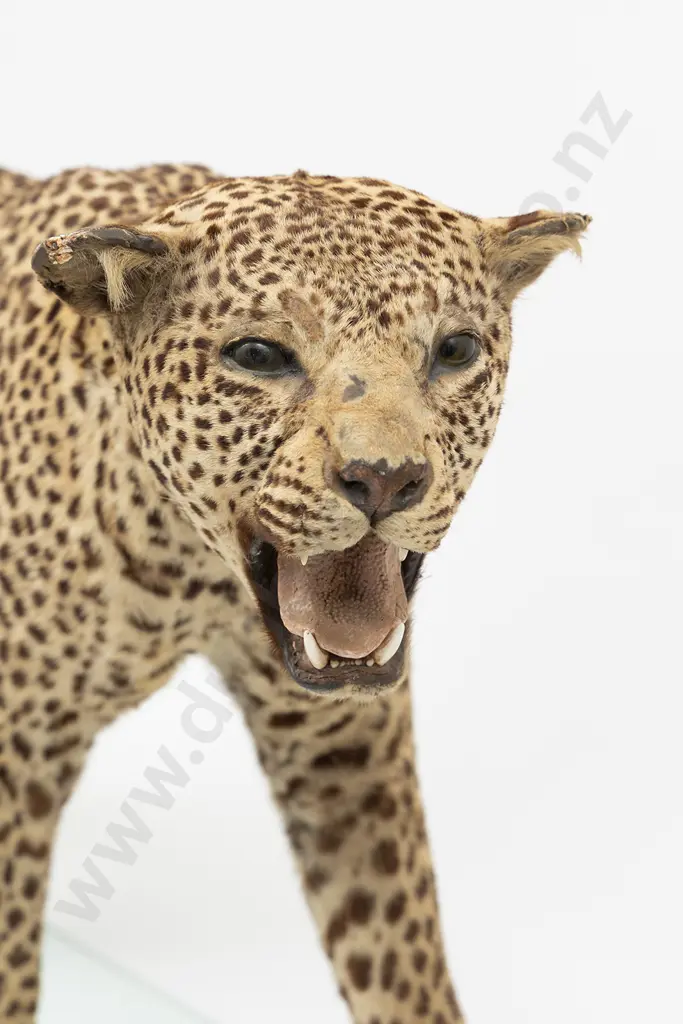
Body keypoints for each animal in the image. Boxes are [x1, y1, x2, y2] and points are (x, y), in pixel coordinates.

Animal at [0, 161, 590, 1023]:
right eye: (258, 354)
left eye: (453, 350)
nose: (384, 479)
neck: (193, 572)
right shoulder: (17, 763)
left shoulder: (343, 749)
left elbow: (402, 963)